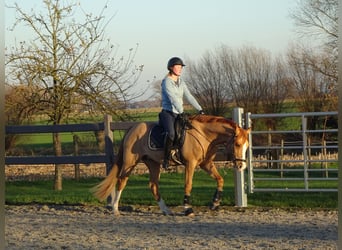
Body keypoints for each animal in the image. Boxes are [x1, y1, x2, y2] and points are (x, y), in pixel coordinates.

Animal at [92, 114, 250, 216]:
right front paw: (187, 208)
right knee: (122, 181)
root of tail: (132, 128)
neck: (203, 135)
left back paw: (166, 210)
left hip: (153, 163)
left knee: (153, 185)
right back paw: (115, 209)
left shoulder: (206, 164)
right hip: (130, 162)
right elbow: (188, 185)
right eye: (237, 144)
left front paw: (215, 203)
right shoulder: (190, 164)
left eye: (247, 146)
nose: (241, 167)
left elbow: (220, 179)